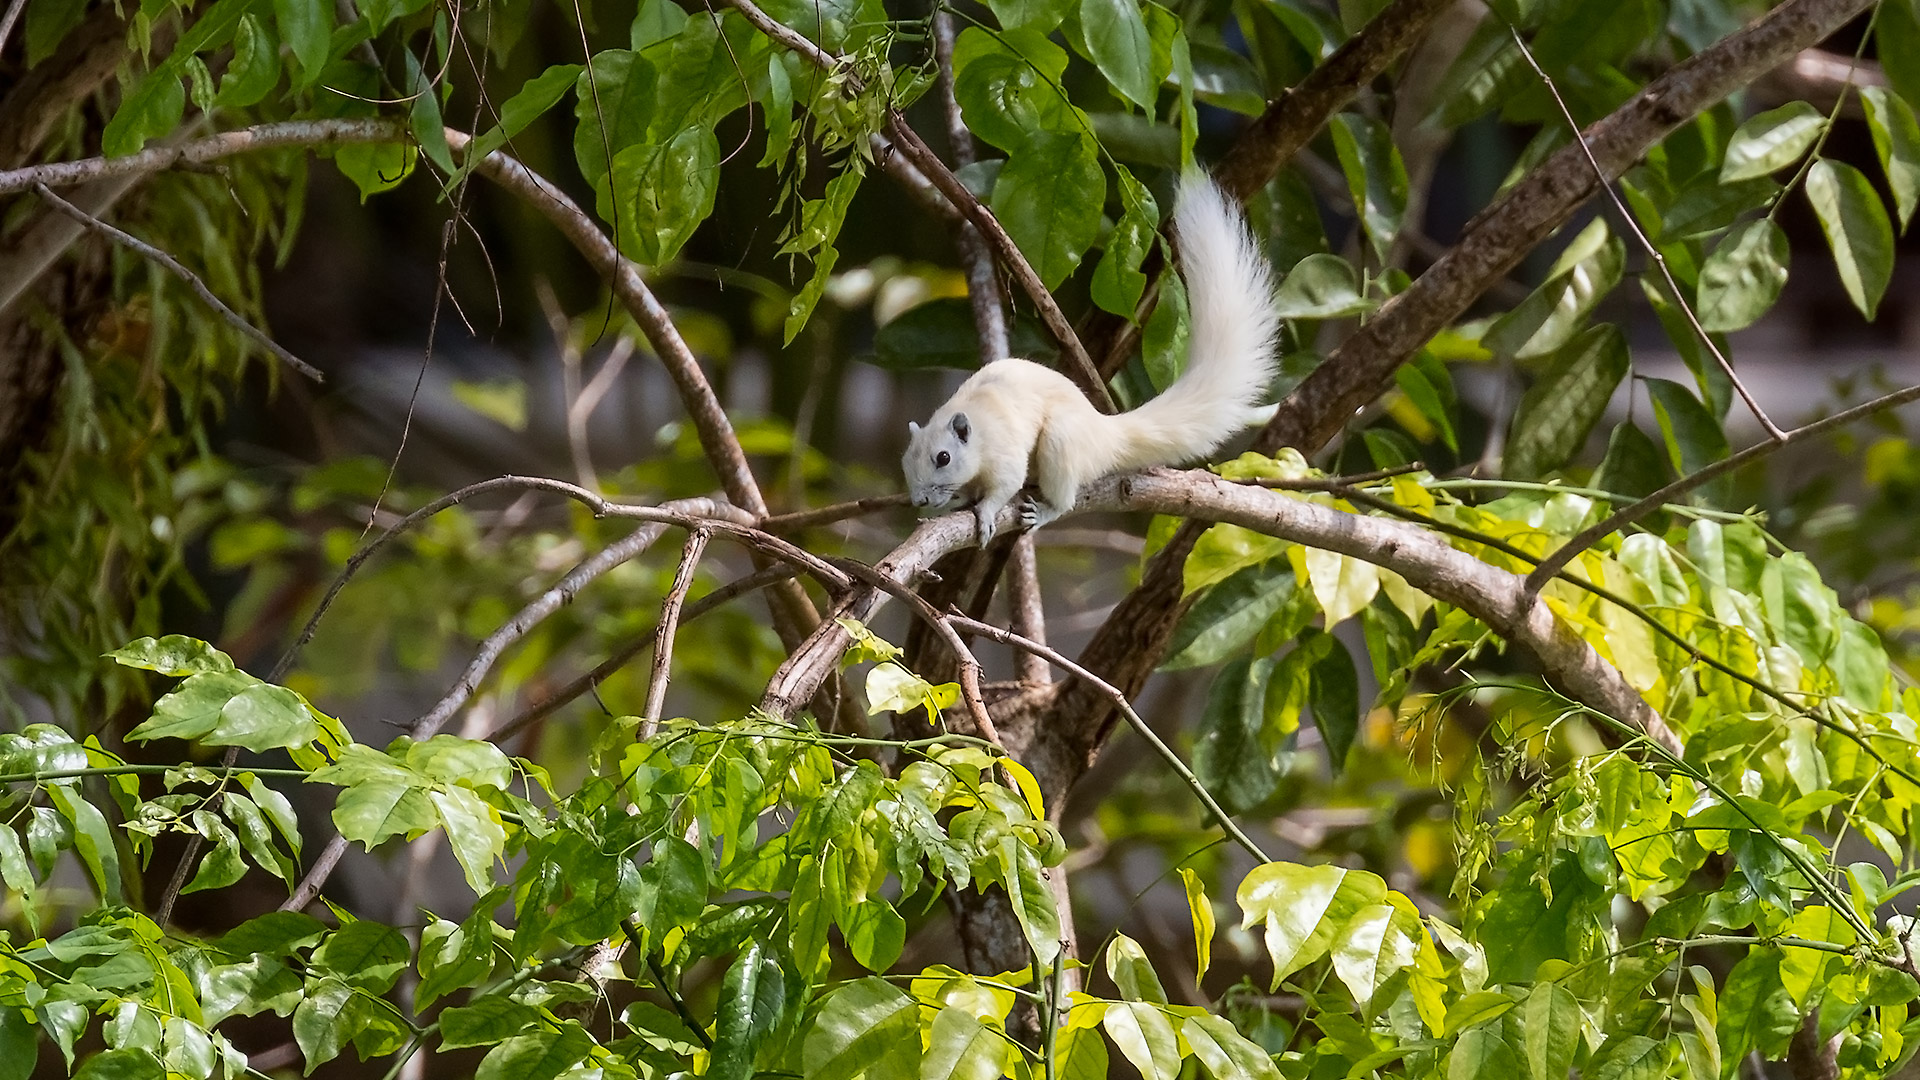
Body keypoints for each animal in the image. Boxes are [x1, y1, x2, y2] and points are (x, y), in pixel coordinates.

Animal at [898, 172, 1274, 541]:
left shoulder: (1004, 451)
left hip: (1061, 440)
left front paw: (987, 515)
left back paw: (1044, 511)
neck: (976, 426)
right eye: (905, 461)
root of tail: (1104, 434)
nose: (920, 500)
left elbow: (1005, 484)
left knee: (1064, 499)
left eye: (943, 458)